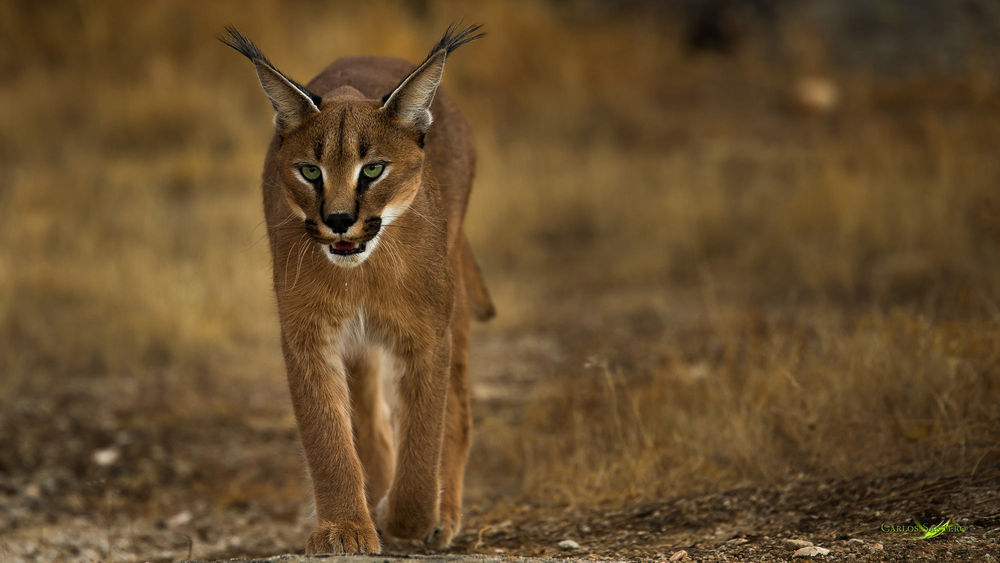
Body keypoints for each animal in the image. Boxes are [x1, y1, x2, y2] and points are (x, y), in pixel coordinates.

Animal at [224, 23, 496, 556]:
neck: (362, 274)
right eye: (310, 170)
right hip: (361, 345)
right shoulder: (309, 335)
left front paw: (405, 516)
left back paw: (442, 515)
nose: (338, 219)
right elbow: (328, 437)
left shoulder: (425, 335)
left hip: (451, 303)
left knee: (456, 410)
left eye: (373, 169)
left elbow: (424, 435)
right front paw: (345, 526)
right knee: (371, 418)